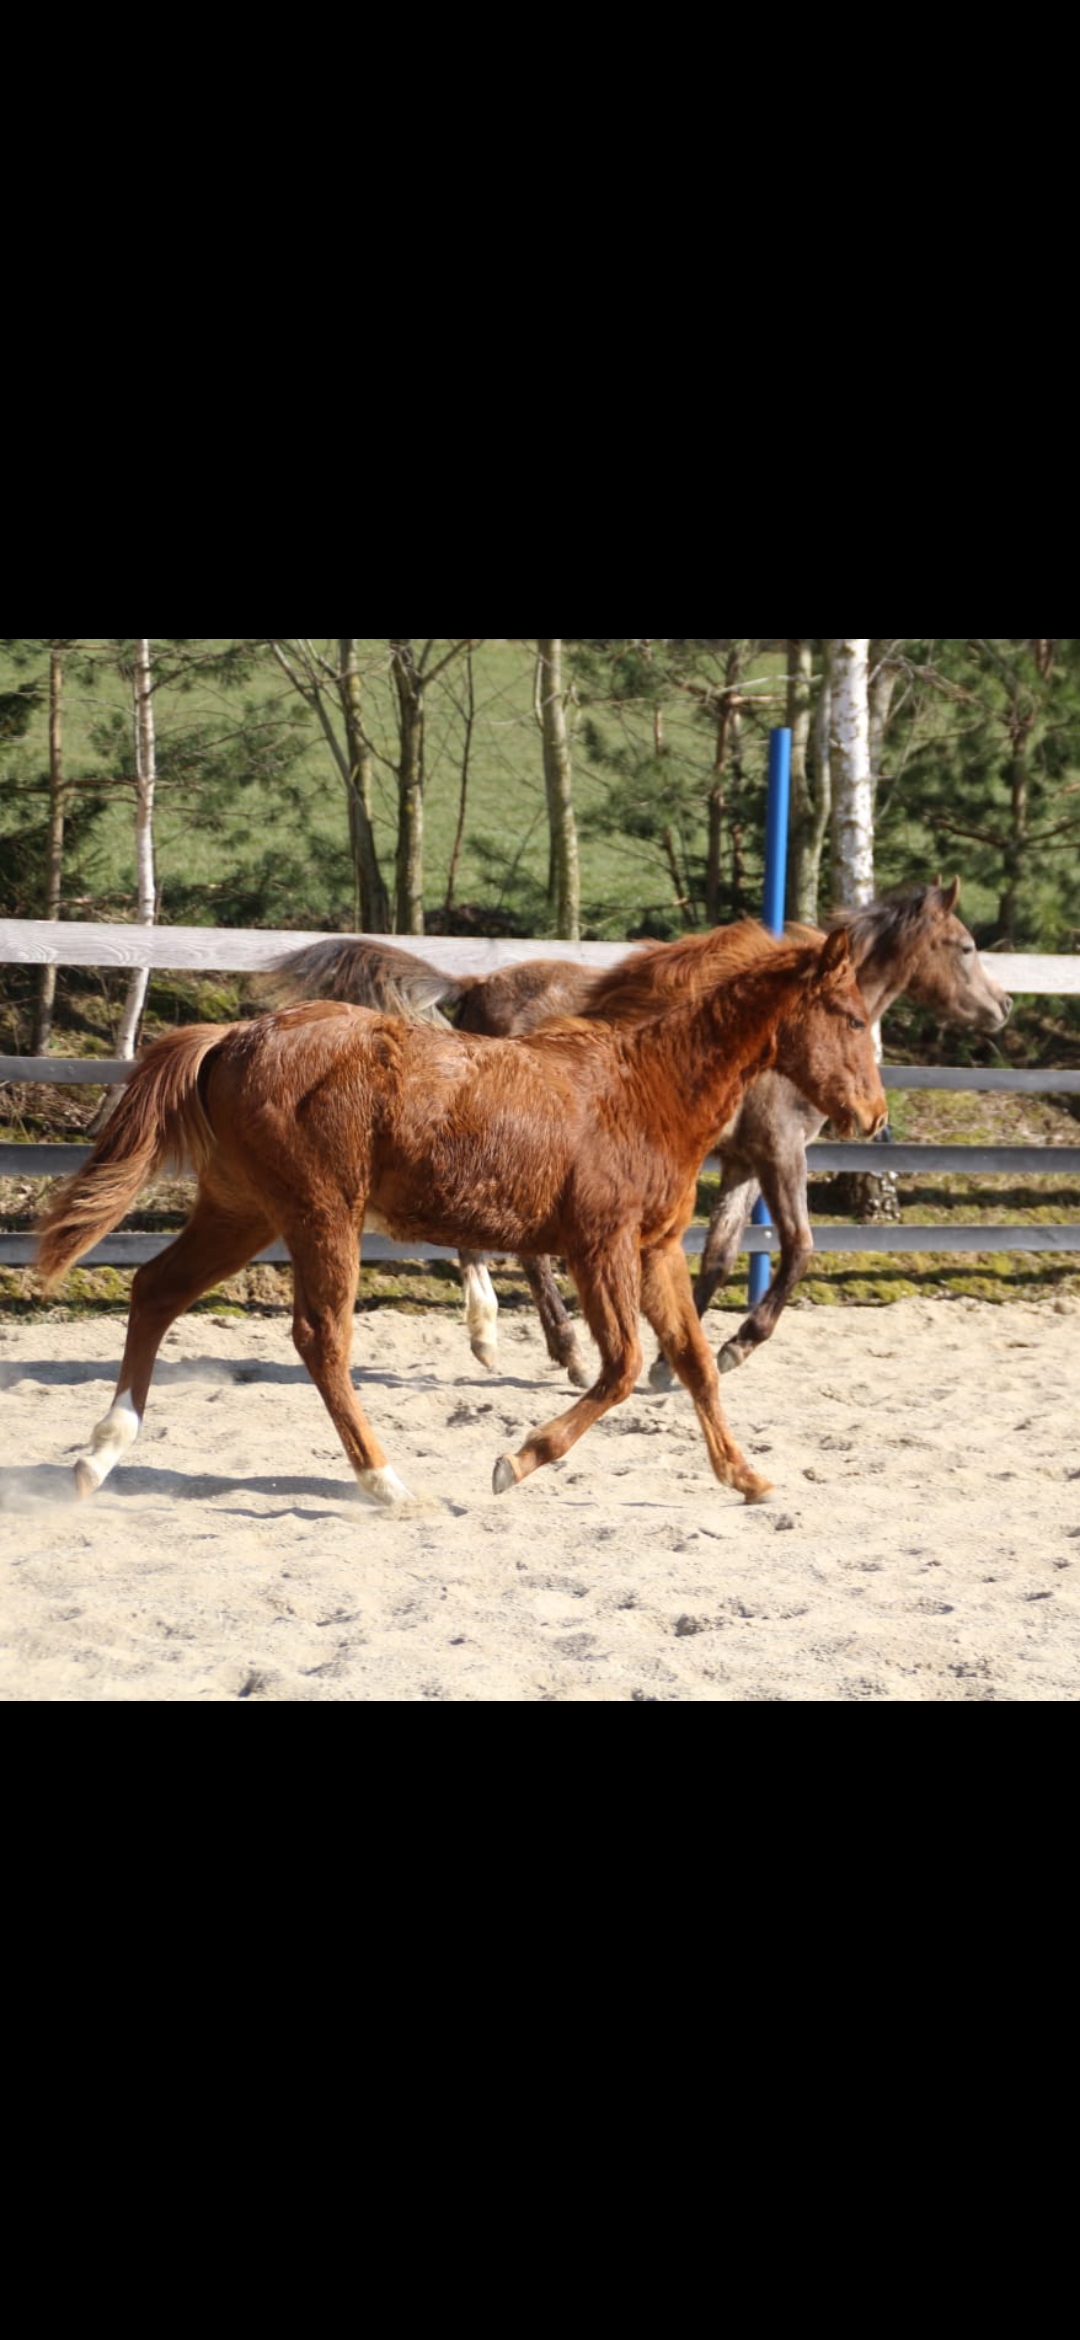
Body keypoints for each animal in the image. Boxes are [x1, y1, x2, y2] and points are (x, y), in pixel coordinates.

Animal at [37, 925, 887, 1513]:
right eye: (851, 1018)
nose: (874, 1116)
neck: (645, 1086)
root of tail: (233, 1037)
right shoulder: (600, 1245)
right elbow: (622, 1366)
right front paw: (518, 1459)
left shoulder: (656, 1250)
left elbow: (695, 1363)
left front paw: (746, 1477)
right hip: (321, 1215)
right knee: (320, 1338)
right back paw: (383, 1480)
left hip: (241, 1212)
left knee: (156, 1291)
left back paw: (97, 1457)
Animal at [271, 880, 1012, 1385]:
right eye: (967, 946)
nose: (1003, 1007)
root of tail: (476, 985)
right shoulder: (782, 1153)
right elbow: (799, 1247)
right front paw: (737, 1345)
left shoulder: (743, 1161)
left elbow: (717, 1256)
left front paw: (668, 1361)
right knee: (515, 1250)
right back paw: (547, 1345)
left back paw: (504, 1336)